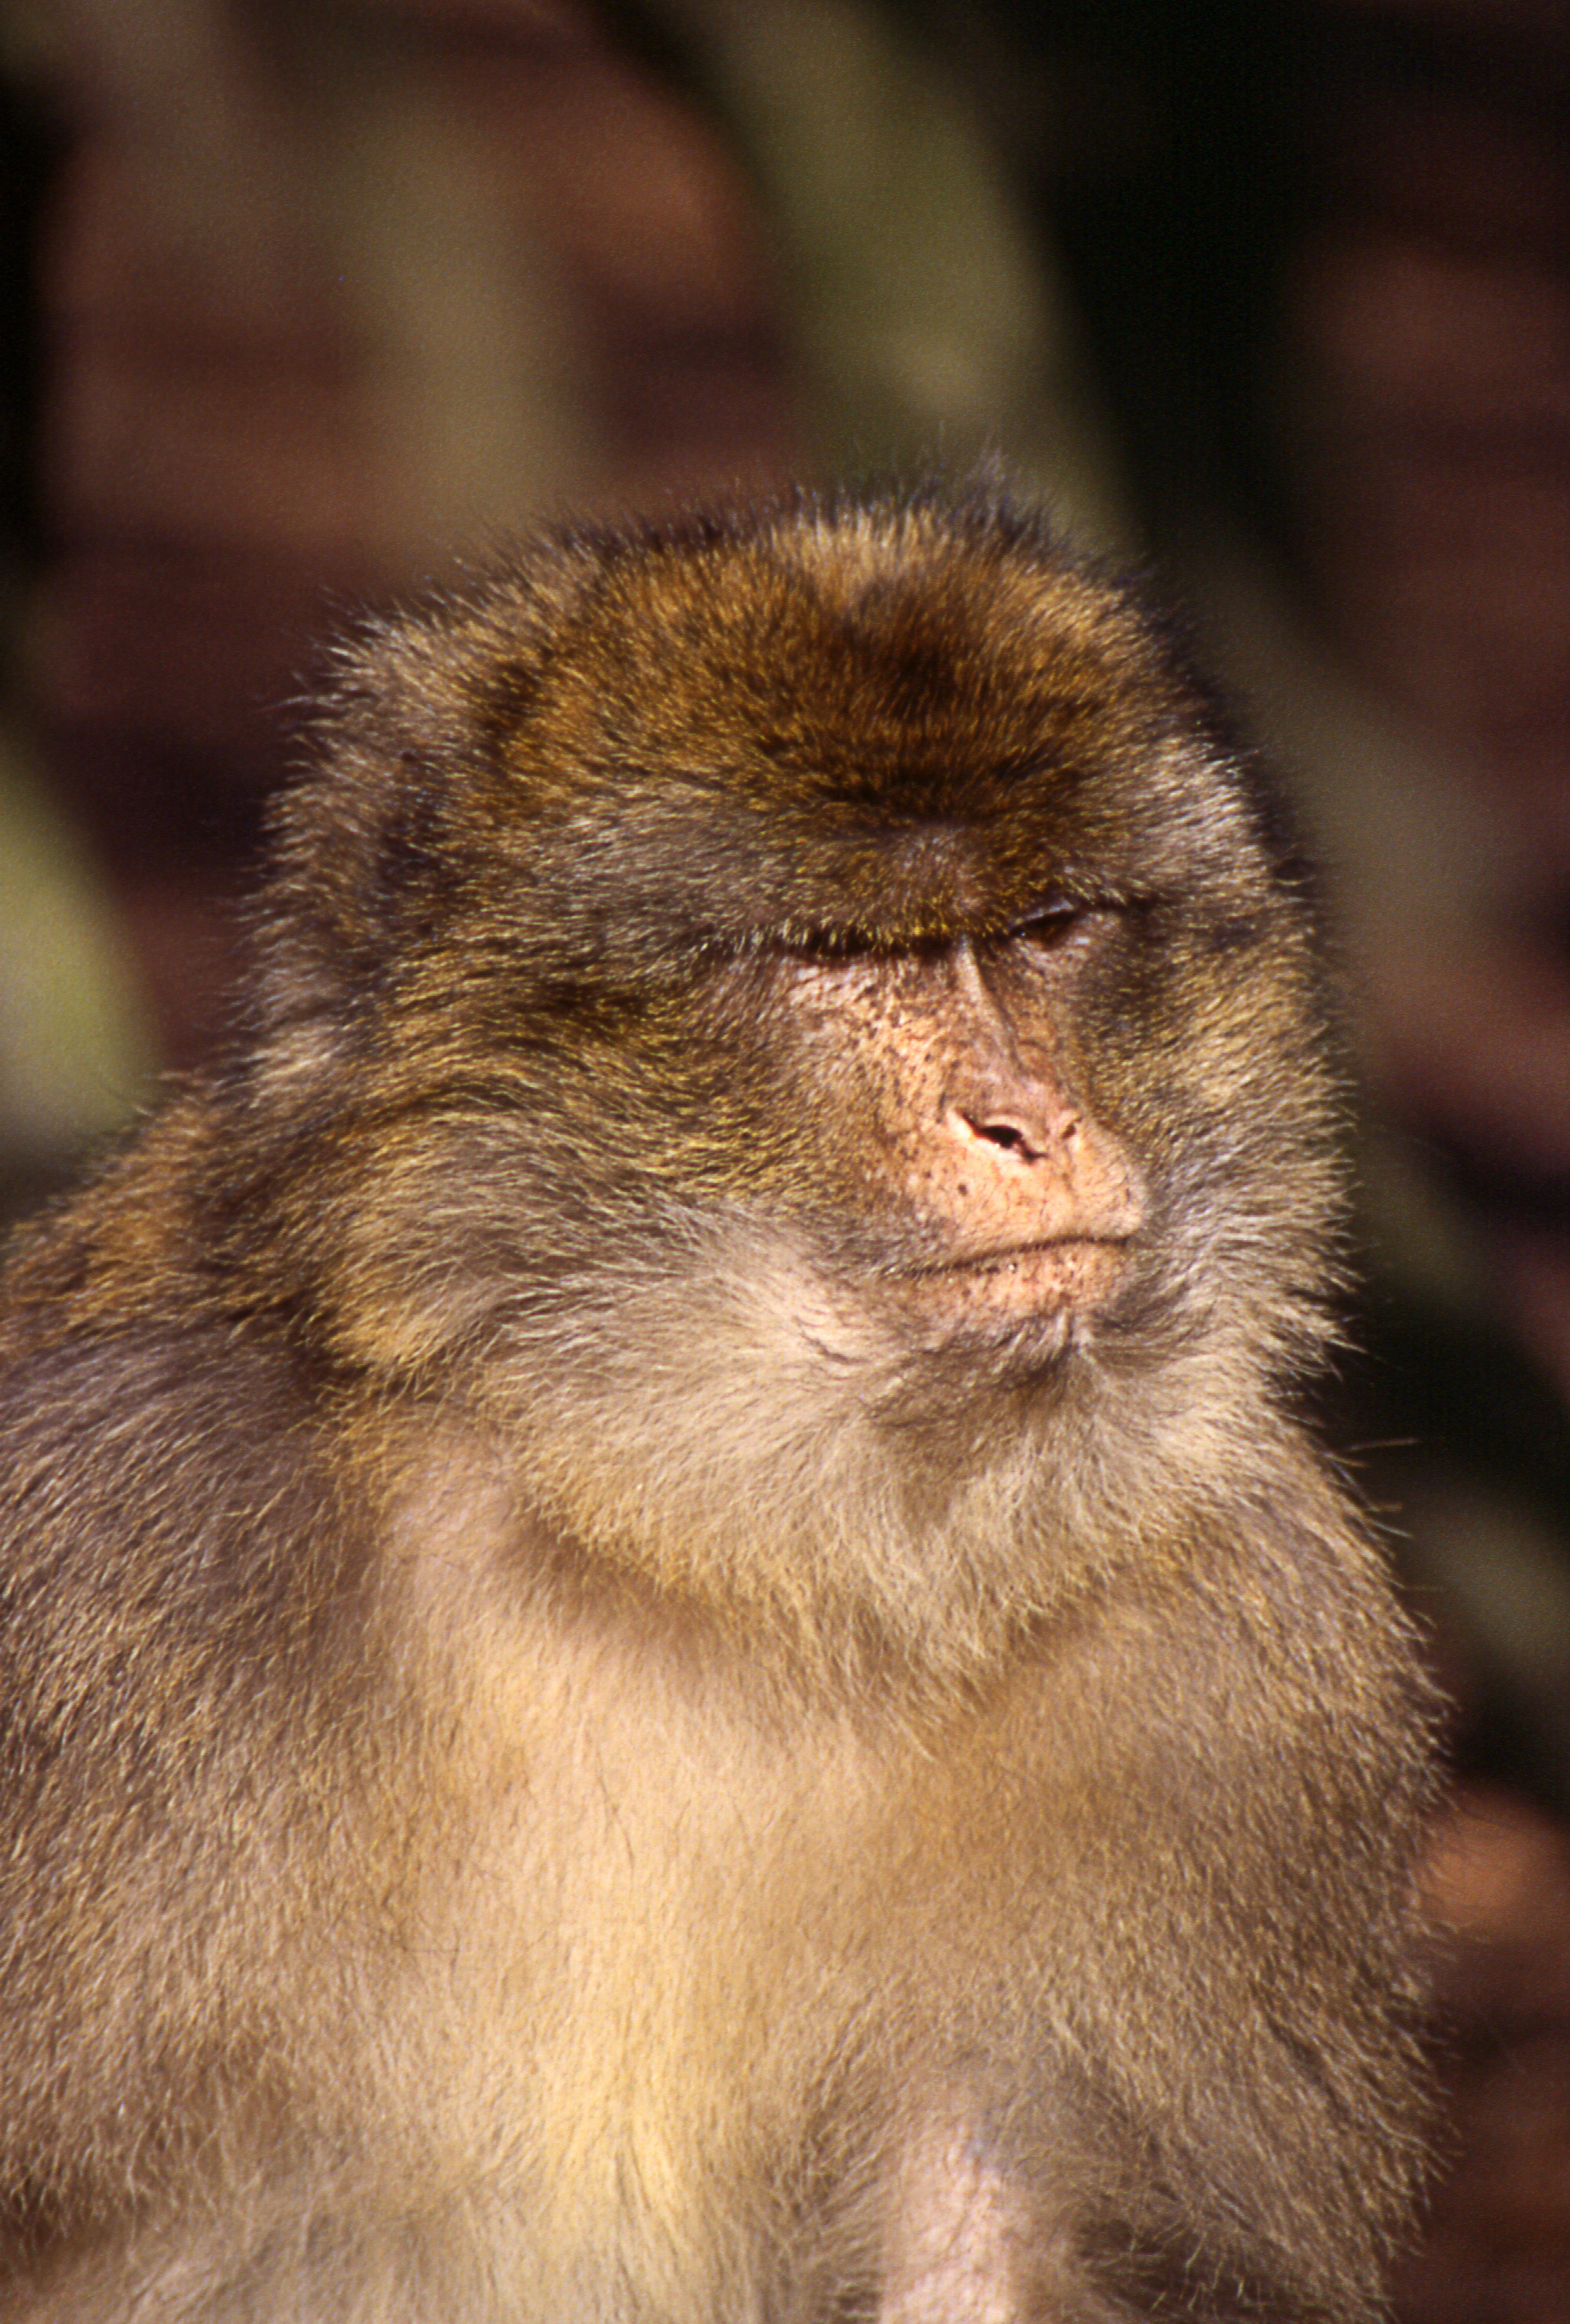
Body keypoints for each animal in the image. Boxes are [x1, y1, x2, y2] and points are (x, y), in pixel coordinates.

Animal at [0, 487, 1434, 2324]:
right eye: (829, 958)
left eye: (1048, 932)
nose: (1028, 1122)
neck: (697, 1548)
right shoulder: (128, 1545)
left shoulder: (1240, 1655)